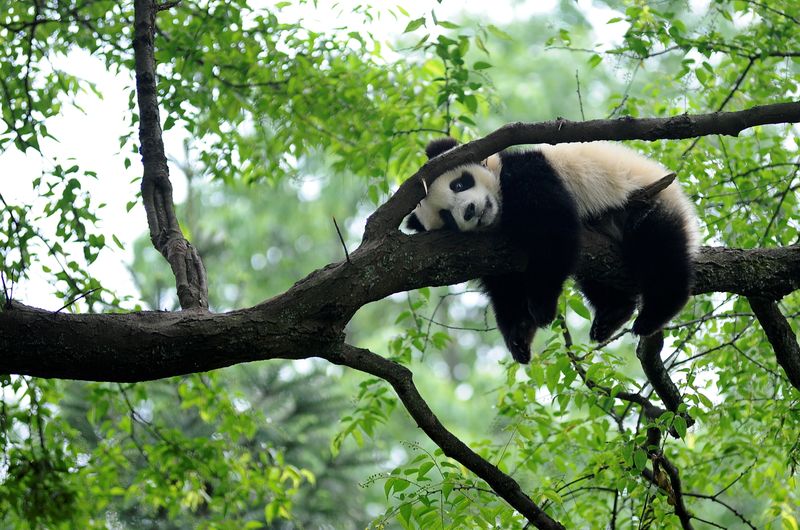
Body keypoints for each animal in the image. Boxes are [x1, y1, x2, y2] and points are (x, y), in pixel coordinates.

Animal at [410, 136, 696, 364]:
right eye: (446, 216)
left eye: (459, 184)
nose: (469, 211)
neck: (500, 212)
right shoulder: (490, 250)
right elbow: (505, 286)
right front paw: (519, 334)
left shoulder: (527, 174)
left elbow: (553, 232)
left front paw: (542, 307)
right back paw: (612, 313)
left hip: (648, 201)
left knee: (659, 251)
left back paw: (654, 313)